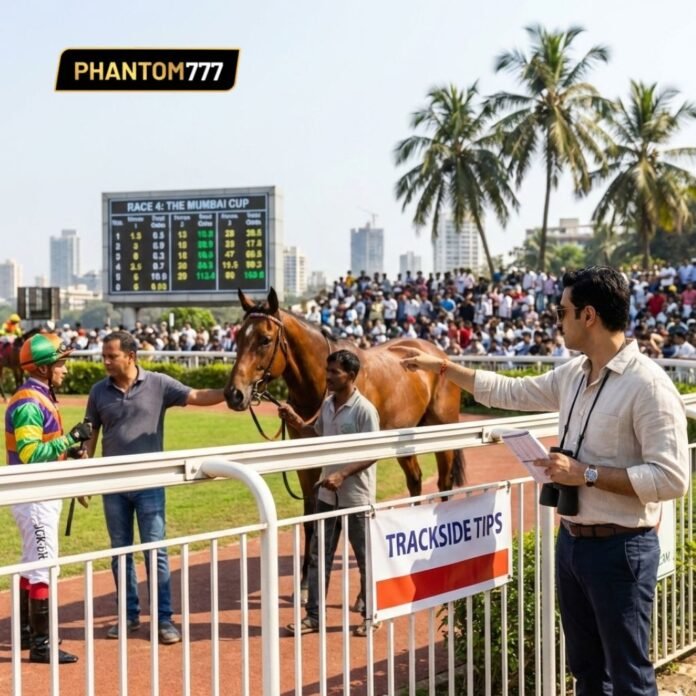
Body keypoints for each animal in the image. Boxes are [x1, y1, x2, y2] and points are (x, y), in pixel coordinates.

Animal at [224, 288, 465, 599]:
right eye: (239, 338)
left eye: (264, 339)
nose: (234, 394)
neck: (322, 387)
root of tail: (439, 355)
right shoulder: (307, 461)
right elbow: (312, 516)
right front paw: (306, 582)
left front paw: (363, 594)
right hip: (403, 437)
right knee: (415, 480)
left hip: (441, 430)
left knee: (444, 483)